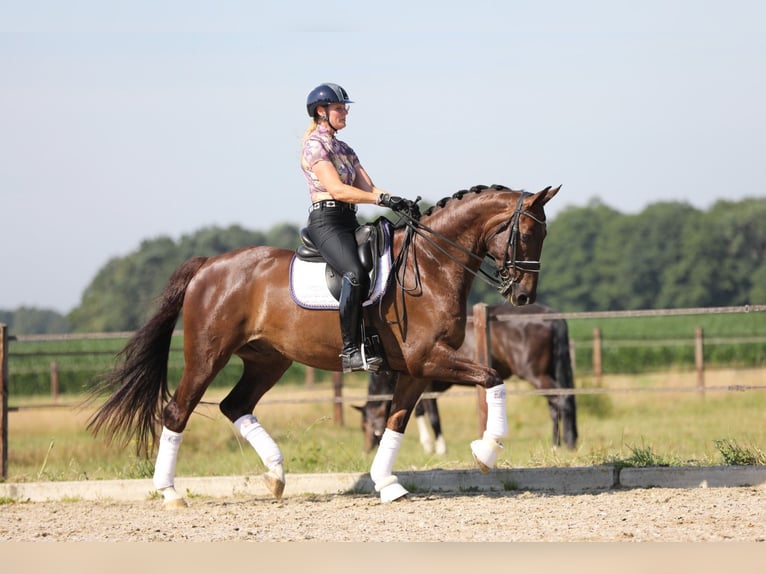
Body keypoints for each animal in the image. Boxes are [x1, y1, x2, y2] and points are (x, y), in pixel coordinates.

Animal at [356, 304, 580, 456]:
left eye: (366, 425)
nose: (366, 450)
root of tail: (552, 317)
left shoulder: (427, 388)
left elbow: (431, 415)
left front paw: (437, 447)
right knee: (556, 404)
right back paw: (558, 444)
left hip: (536, 375)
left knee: (561, 401)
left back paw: (563, 443)